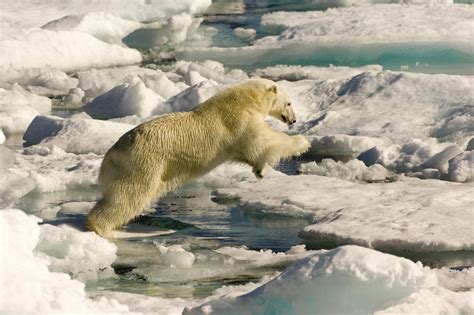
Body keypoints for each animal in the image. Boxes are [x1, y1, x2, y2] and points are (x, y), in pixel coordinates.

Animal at [86, 78, 312, 237]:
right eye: (289, 103)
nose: (293, 120)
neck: (246, 98)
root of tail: (111, 156)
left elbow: (249, 151)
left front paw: (260, 170)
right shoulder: (239, 119)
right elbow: (263, 140)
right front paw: (303, 141)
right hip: (143, 163)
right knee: (130, 194)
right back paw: (103, 228)